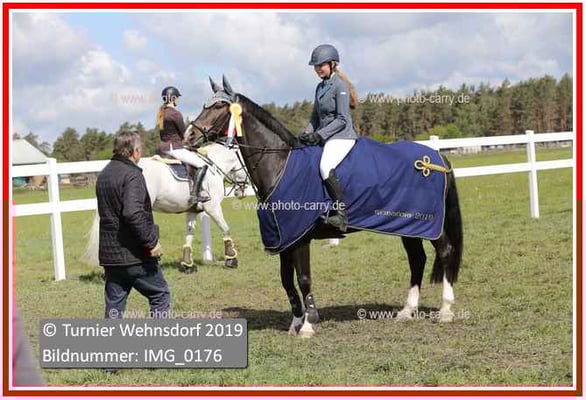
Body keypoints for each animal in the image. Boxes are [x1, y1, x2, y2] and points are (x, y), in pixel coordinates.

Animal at [82, 142, 249, 272]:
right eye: (246, 164)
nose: (241, 191)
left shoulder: (192, 211)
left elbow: (189, 235)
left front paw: (187, 265)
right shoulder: (212, 207)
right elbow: (226, 229)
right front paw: (231, 259)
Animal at [188, 76, 463, 338]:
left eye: (220, 107)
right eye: (205, 105)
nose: (190, 135)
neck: (280, 165)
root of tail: (435, 157)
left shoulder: (300, 238)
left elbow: (304, 279)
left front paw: (309, 325)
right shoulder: (285, 238)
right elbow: (287, 281)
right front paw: (295, 322)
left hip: (429, 224)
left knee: (445, 251)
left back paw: (446, 311)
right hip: (409, 224)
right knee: (417, 259)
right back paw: (407, 311)